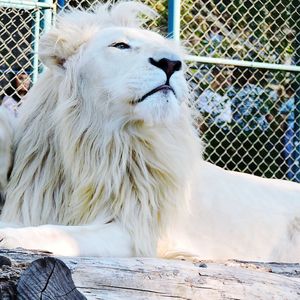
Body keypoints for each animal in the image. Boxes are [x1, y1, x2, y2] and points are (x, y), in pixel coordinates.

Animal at [0, 1, 300, 262]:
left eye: (170, 53)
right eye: (120, 45)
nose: (171, 63)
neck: (100, 144)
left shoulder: (136, 231)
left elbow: (58, 233)